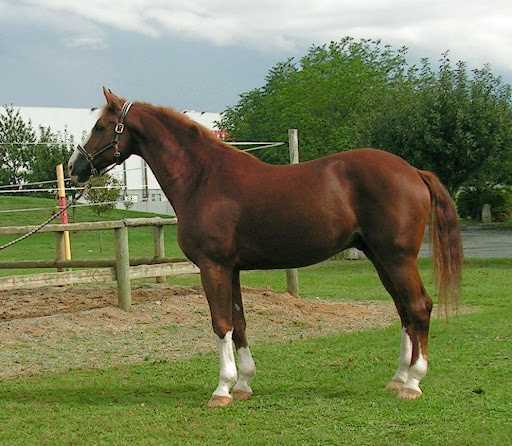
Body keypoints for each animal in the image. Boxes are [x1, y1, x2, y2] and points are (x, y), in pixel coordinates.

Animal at [69, 89, 464, 408]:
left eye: (101, 126)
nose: (75, 168)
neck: (203, 178)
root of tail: (413, 171)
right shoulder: (232, 269)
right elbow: (239, 322)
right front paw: (244, 383)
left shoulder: (213, 266)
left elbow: (221, 323)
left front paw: (222, 390)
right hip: (381, 258)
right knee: (404, 310)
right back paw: (398, 378)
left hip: (397, 258)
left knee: (418, 307)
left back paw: (413, 382)